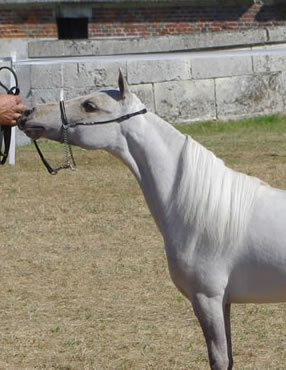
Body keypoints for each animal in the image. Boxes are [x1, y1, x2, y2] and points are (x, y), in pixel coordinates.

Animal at [18, 71, 286, 368]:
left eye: (90, 105)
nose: (28, 114)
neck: (199, 208)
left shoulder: (207, 298)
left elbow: (219, 358)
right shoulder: (222, 301)